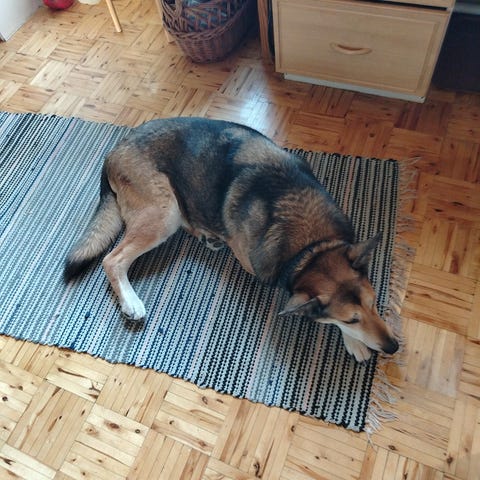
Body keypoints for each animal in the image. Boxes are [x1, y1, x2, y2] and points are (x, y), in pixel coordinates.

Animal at [64, 117, 399, 362]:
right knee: (113, 259)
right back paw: (131, 302)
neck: (312, 247)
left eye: (374, 304)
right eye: (351, 319)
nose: (393, 348)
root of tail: (113, 151)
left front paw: (355, 343)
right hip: (163, 213)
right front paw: (354, 341)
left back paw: (206, 235)